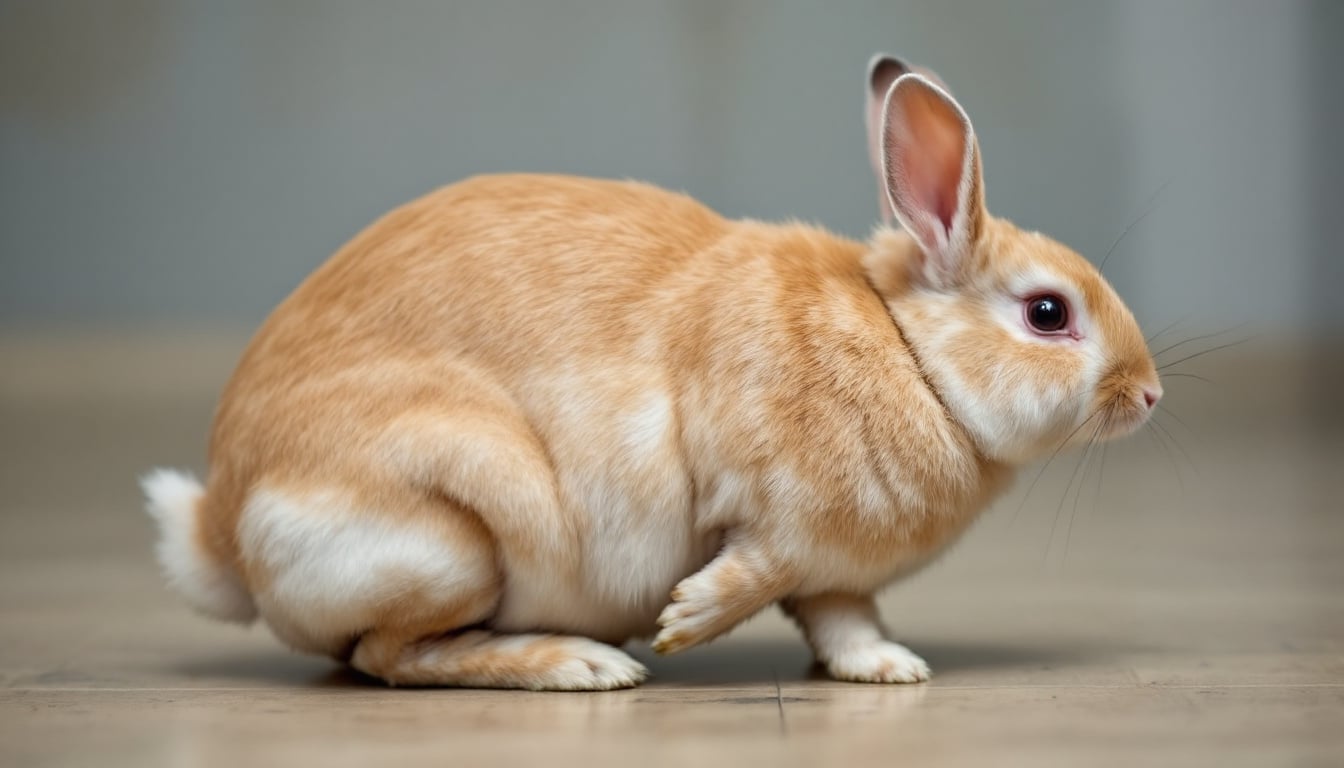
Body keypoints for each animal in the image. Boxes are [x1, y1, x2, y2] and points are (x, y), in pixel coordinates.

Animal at [141, 54, 1161, 688]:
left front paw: (890, 668)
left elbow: (845, 621)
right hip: (450, 539)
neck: (910, 356)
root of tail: (224, 532)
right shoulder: (771, 519)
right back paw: (582, 665)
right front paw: (683, 623)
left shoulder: (832, 573)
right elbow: (749, 572)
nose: (1148, 394)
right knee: (386, 656)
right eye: (1048, 314)